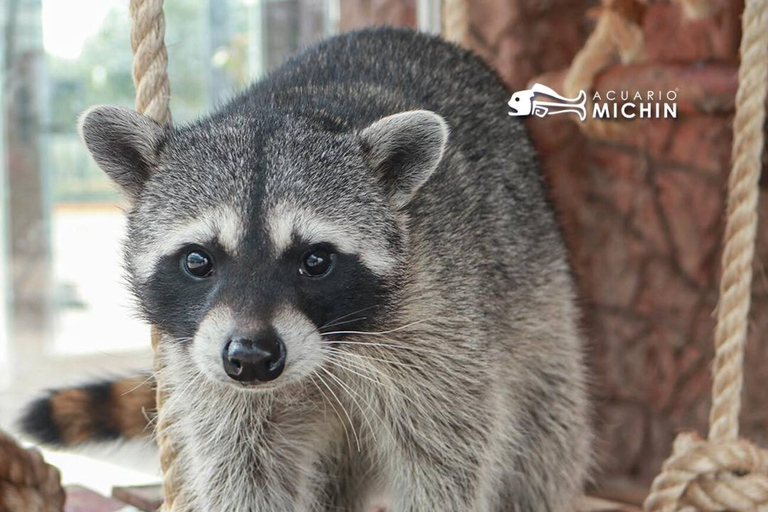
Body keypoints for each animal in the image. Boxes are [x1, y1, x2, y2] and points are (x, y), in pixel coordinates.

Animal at [21, 27, 592, 512]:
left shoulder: (443, 326)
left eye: (315, 261)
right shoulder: (208, 373)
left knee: (545, 439)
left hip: (539, 307)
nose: (251, 358)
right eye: (197, 260)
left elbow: (449, 460)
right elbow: (238, 463)